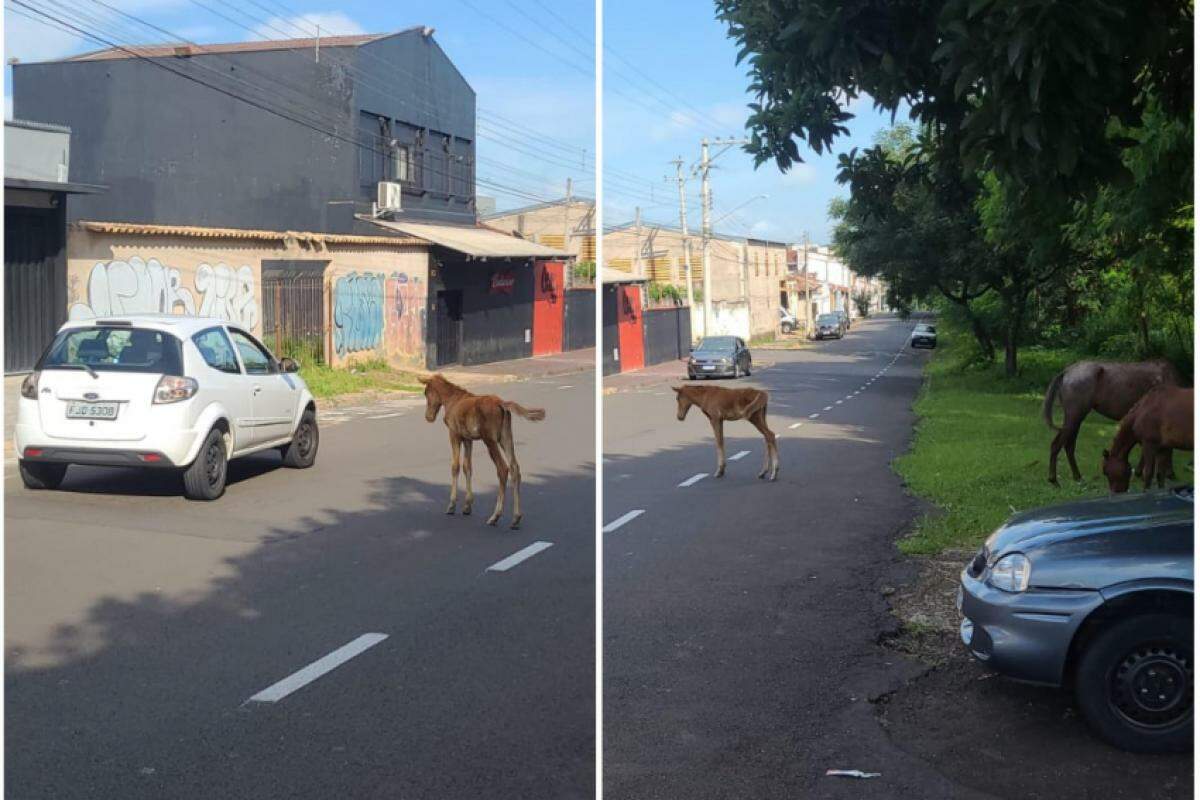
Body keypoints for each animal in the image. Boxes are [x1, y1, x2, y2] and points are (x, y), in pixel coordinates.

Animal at [420, 371, 547, 527]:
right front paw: (467, 506)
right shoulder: (468, 439)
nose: (428, 417)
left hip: (490, 440)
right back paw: (516, 518)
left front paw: (451, 505)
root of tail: (502, 404)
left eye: (426, 392)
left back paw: (495, 516)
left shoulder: (454, 434)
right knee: (515, 468)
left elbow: (455, 466)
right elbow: (467, 466)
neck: (451, 400)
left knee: (502, 469)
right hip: (505, 437)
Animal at [1041, 359, 1180, 484]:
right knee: (1057, 445)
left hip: (1075, 420)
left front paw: (1141, 472)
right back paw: (1053, 479)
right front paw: (1169, 473)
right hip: (1074, 418)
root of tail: (1066, 372)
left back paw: (1077, 476)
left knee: (1069, 446)